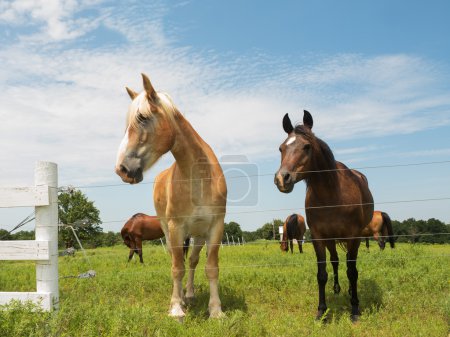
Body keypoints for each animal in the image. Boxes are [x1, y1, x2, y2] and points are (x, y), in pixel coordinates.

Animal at [114, 73, 227, 318]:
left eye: (142, 117)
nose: (122, 169)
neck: (200, 179)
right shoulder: (176, 228)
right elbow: (177, 268)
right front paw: (176, 308)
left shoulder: (215, 227)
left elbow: (210, 267)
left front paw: (216, 310)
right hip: (169, 231)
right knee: (177, 262)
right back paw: (182, 298)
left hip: (197, 234)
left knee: (192, 261)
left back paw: (190, 295)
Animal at [274, 109, 372, 320]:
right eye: (281, 148)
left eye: (307, 146)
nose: (282, 179)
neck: (332, 196)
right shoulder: (319, 238)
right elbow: (322, 273)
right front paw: (321, 311)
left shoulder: (354, 236)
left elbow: (352, 271)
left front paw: (354, 309)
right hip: (331, 239)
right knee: (335, 261)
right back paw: (336, 288)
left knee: (349, 265)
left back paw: (350, 292)